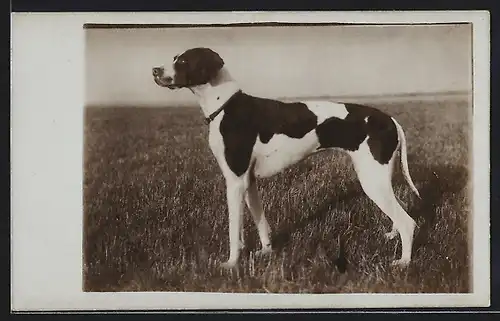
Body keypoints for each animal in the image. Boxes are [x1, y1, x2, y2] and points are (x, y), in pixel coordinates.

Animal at [153, 47, 422, 268]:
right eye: (175, 58)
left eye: (183, 61)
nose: (155, 70)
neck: (226, 106)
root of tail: (390, 120)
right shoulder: (248, 182)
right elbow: (261, 222)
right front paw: (265, 252)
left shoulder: (235, 182)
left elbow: (233, 229)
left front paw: (231, 263)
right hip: (380, 179)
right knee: (399, 213)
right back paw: (392, 237)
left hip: (372, 181)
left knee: (408, 223)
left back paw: (404, 262)